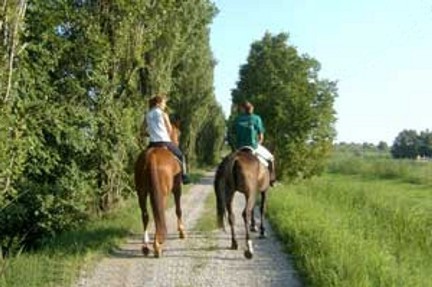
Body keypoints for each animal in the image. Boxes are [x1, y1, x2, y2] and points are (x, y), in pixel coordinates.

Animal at [135, 125, 186, 258]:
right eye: (179, 133)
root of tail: (151, 156)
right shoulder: (177, 189)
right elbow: (178, 210)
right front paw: (182, 232)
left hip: (141, 193)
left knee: (146, 215)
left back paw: (146, 246)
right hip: (163, 194)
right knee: (159, 213)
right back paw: (157, 245)